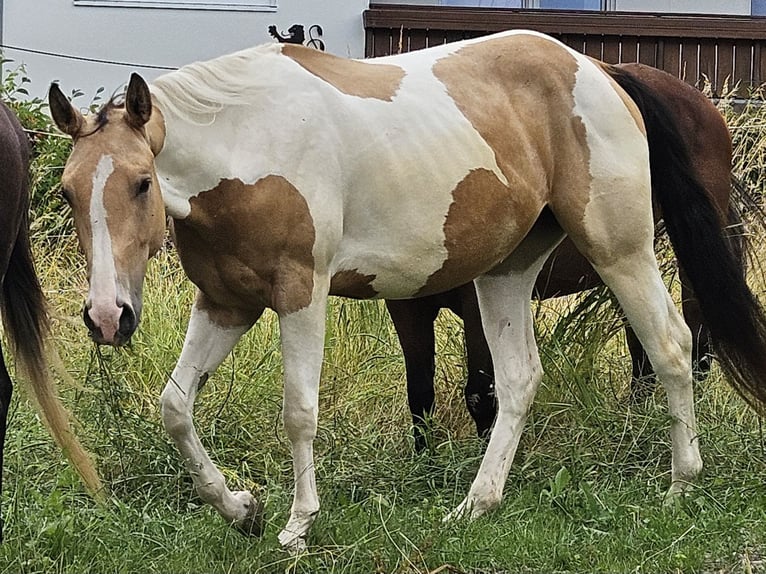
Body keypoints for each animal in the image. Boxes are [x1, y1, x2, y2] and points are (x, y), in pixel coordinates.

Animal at [386, 61, 743, 450]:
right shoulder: (406, 309)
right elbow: (420, 394)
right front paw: (427, 461)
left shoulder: (477, 303)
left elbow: (481, 392)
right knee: (645, 349)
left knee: (696, 338)